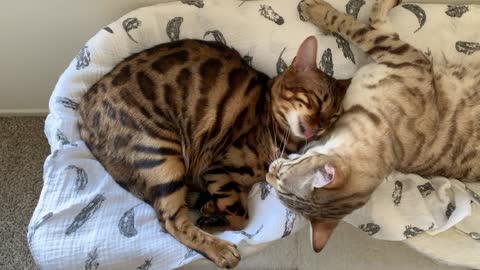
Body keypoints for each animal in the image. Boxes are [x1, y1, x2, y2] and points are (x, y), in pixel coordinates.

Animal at [79, 36, 348, 268]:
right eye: (317, 100)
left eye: (334, 116)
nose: (320, 126)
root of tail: (83, 111)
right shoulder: (219, 168)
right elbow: (240, 215)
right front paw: (212, 218)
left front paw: (210, 209)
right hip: (161, 152)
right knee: (170, 220)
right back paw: (221, 249)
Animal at [266, 0, 480, 253]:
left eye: (281, 180)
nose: (268, 173)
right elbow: (374, 22)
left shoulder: (402, 55)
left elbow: (355, 27)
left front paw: (317, 11)